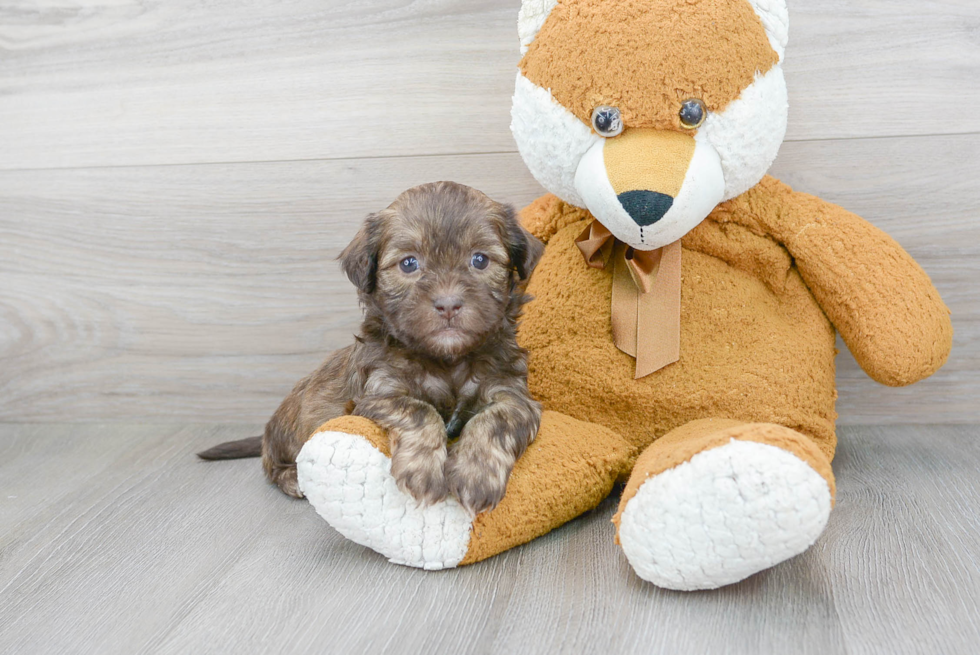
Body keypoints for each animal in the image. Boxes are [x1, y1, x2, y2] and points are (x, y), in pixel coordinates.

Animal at [201, 182, 544, 516]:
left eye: (480, 260)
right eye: (409, 263)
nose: (448, 304)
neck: (446, 360)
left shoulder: (512, 393)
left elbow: (495, 420)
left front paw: (476, 475)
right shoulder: (379, 394)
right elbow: (421, 411)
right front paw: (424, 473)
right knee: (270, 465)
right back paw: (292, 479)